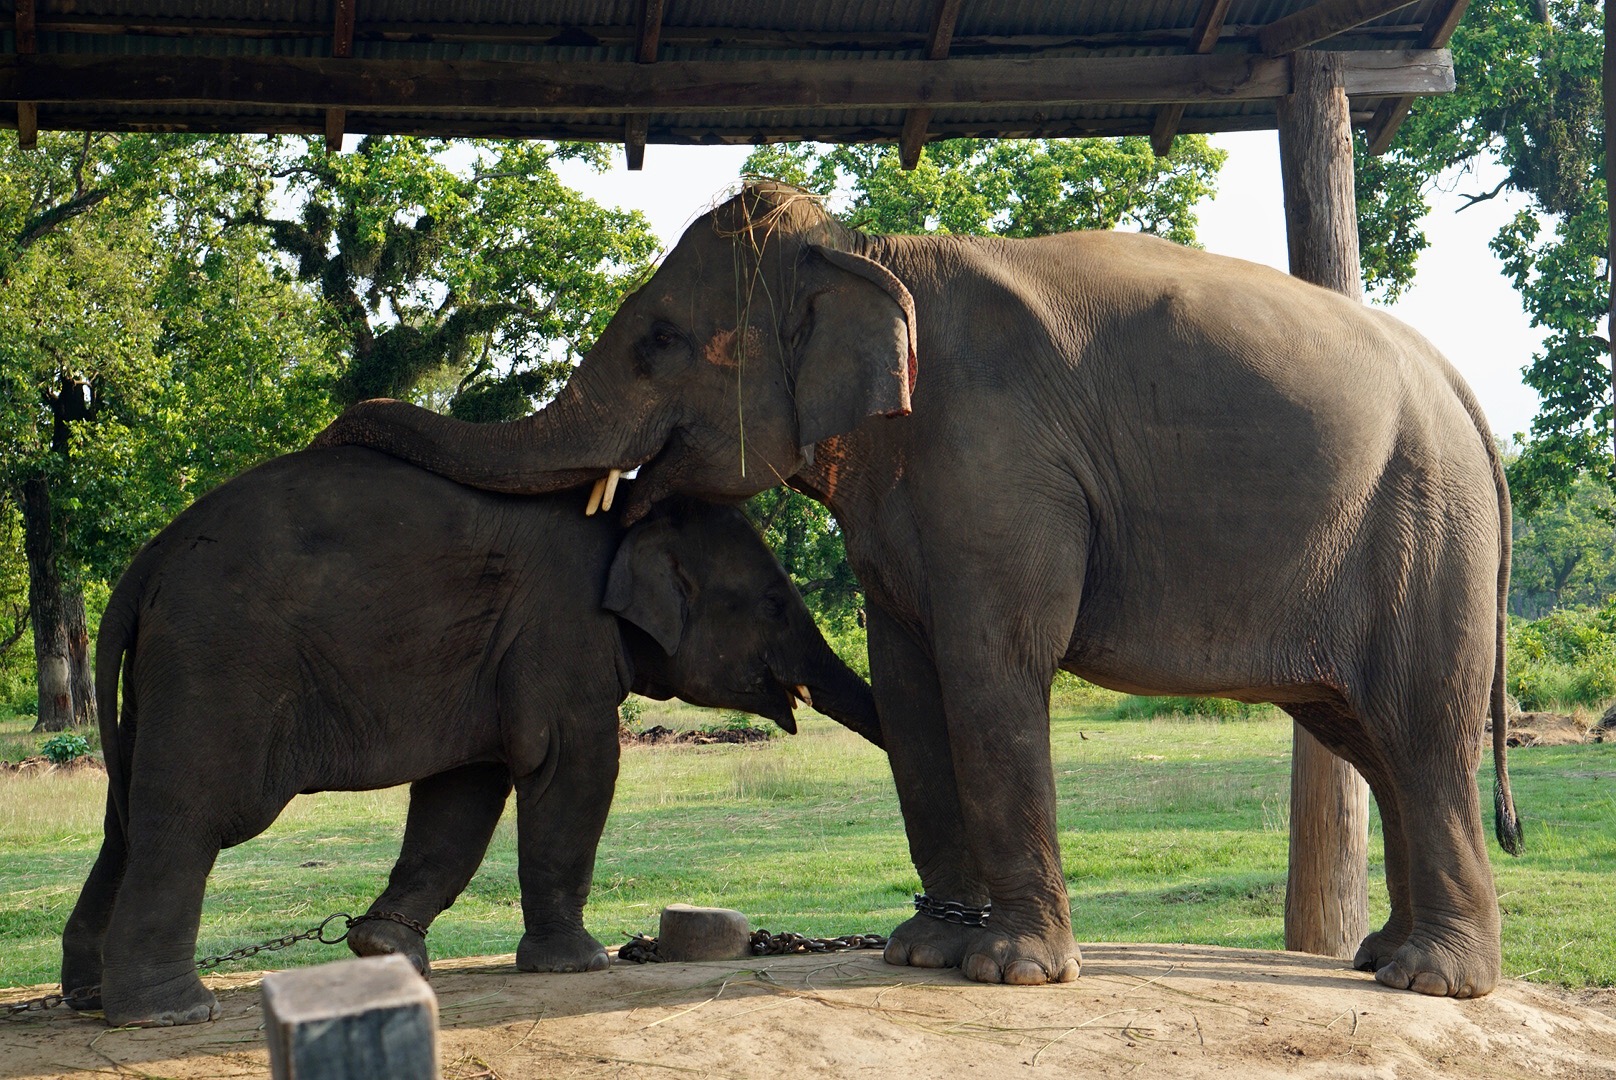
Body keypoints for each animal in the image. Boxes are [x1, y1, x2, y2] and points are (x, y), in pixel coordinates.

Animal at [59, 446, 885, 1028]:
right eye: (774, 603)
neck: (630, 505)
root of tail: (147, 563)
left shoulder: (492, 655)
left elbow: (466, 787)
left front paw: (383, 951)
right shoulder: (560, 632)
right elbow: (575, 766)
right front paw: (578, 967)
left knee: (125, 822)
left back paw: (88, 997)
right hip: (220, 663)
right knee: (190, 821)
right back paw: (170, 1012)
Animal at [318, 181, 1525, 1002]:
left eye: (660, 340)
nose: (336, 429)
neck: (861, 248)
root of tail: (1466, 393)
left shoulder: (999, 461)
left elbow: (991, 668)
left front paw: (1011, 970)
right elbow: (908, 681)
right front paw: (924, 951)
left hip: (1424, 530)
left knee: (1418, 729)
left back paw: (1431, 982)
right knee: (1363, 731)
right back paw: (1382, 957)